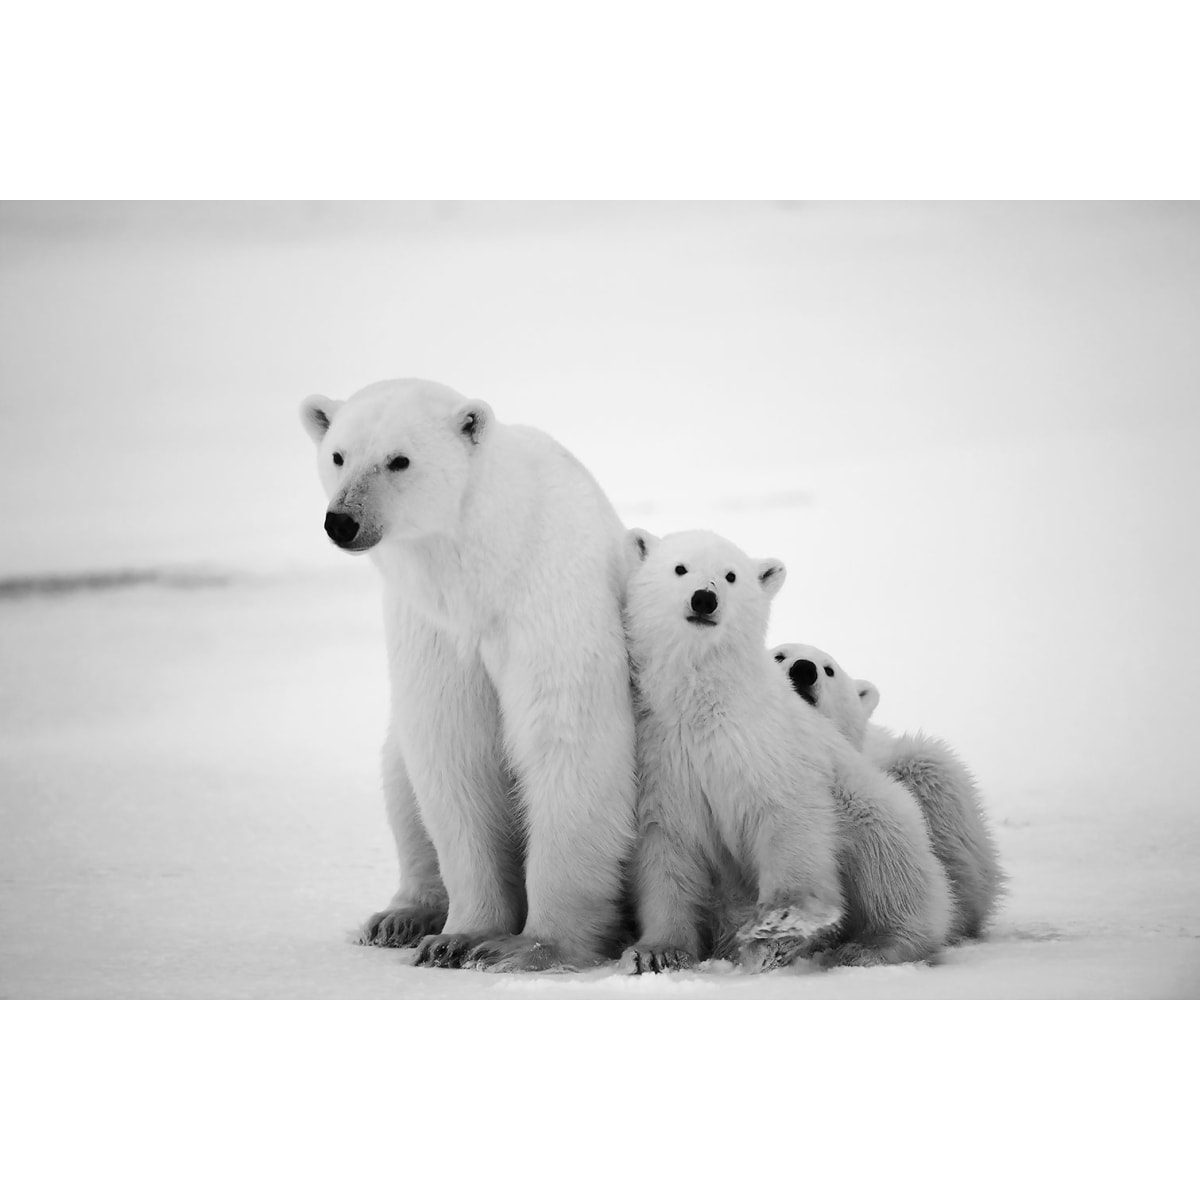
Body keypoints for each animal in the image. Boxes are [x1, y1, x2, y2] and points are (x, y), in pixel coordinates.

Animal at [300, 378, 638, 972]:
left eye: (399, 460)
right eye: (338, 455)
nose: (342, 520)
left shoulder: (550, 599)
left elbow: (567, 741)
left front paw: (529, 947)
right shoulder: (433, 627)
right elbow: (452, 749)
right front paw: (458, 938)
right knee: (399, 777)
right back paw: (400, 916)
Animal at [619, 529, 954, 974]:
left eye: (731, 576)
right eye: (680, 568)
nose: (704, 599)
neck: (703, 704)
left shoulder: (766, 743)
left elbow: (788, 816)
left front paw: (779, 927)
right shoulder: (663, 755)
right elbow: (666, 847)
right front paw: (656, 952)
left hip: (872, 804)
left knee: (889, 862)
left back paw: (873, 946)